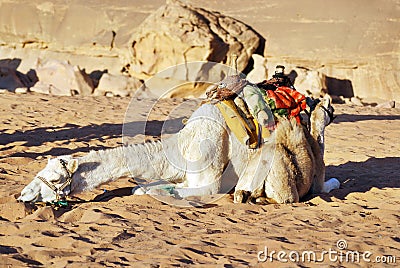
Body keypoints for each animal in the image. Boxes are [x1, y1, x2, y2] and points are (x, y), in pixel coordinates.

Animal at [17, 96, 340, 203]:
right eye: (40, 169)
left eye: (56, 178)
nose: (23, 196)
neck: (182, 146)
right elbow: (145, 187)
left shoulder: (209, 182)